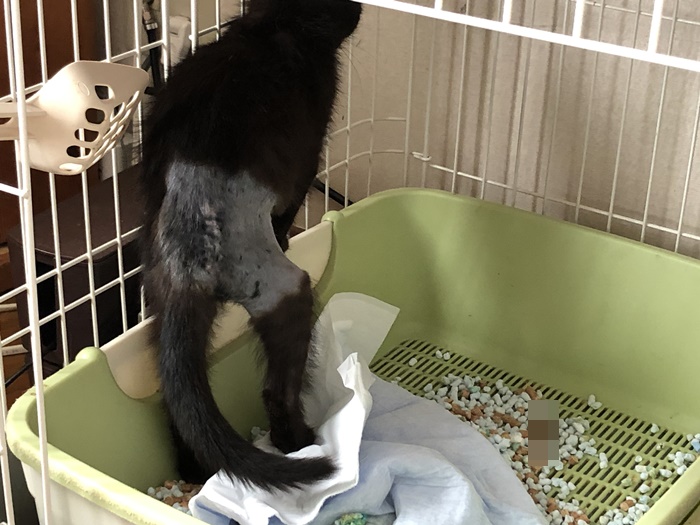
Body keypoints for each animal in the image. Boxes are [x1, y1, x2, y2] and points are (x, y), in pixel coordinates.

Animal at [139, 0, 362, 490]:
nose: (358, 9)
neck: (273, 21)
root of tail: (187, 257)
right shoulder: (309, 147)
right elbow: (291, 204)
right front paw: (287, 234)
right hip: (287, 291)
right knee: (277, 391)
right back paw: (301, 443)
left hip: (160, 311)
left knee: (177, 402)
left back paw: (195, 469)